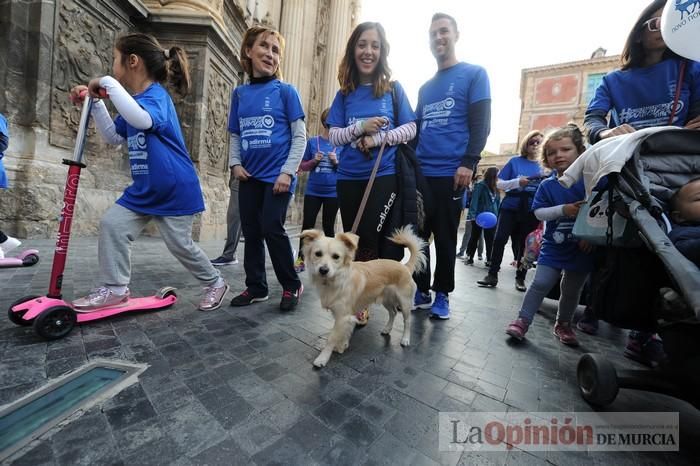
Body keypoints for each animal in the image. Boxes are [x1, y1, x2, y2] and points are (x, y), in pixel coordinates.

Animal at [300, 226, 426, 368]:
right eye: (318, 254)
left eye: (336, 257)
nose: (323, 270)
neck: (337, 279)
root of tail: (405, 266)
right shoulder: (344, 317)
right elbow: (344, 332)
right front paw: (342, 345)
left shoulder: (342, 316)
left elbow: (331, 338)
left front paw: (323, 358)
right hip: (386, 300)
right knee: (393, 313)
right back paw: (387, 329)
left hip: (404, 303)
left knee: (407, 321)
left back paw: (405, 339)